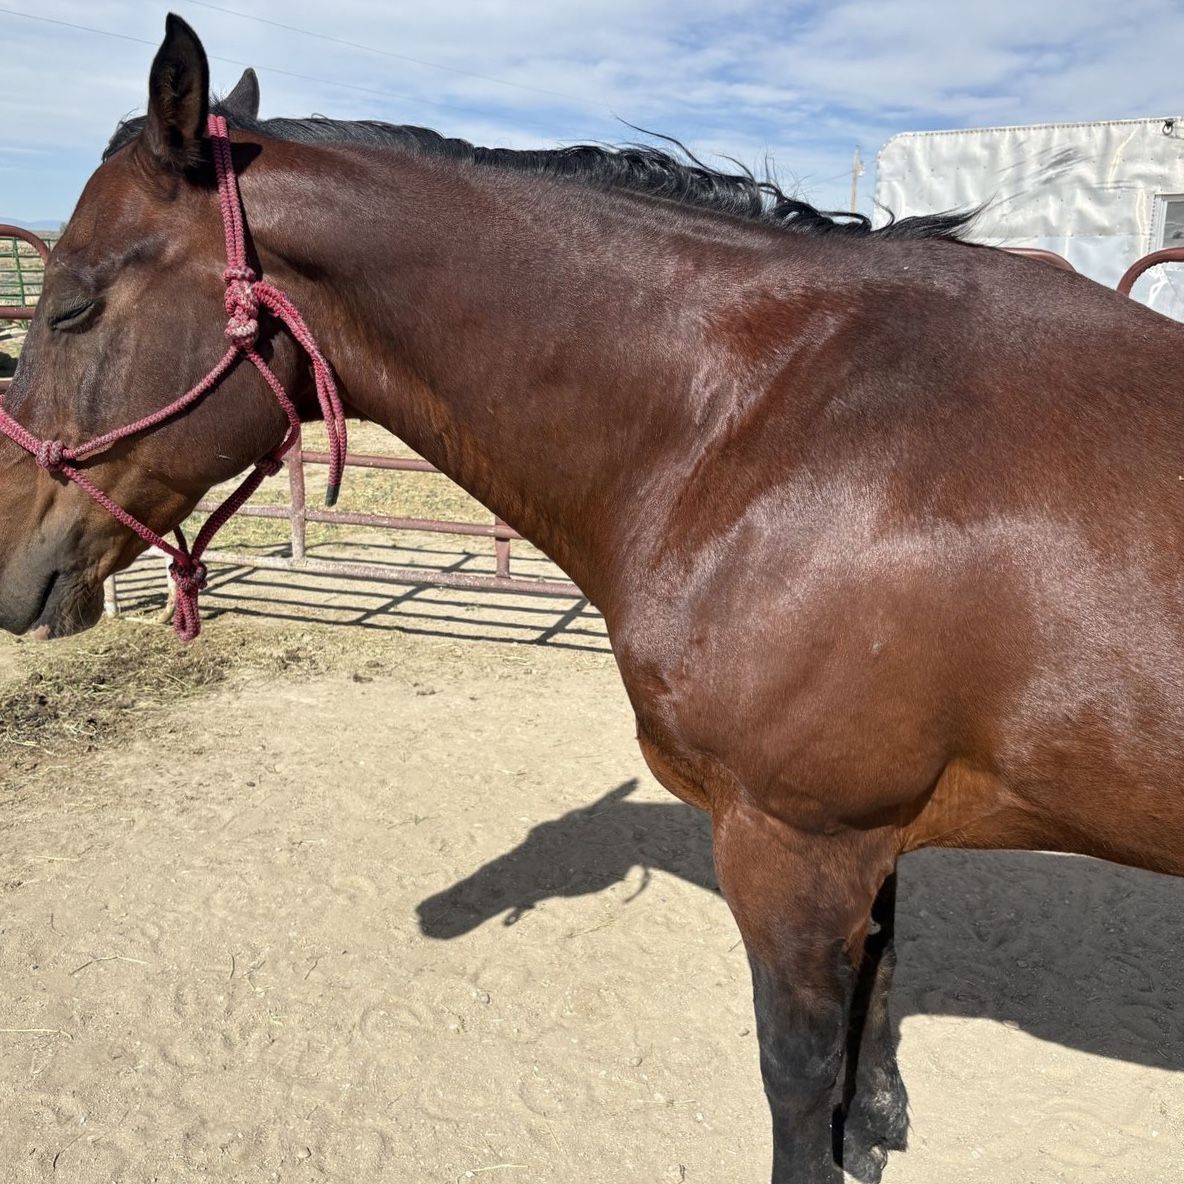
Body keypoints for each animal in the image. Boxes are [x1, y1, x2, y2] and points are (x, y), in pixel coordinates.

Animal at [2, 15, 1182, 1182]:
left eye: (71, 306)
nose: (8, 560)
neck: (770, 423)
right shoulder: (867, 832)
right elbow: (879, 985)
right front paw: (877, 1123)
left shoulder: (796, 843)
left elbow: (796, 1077)